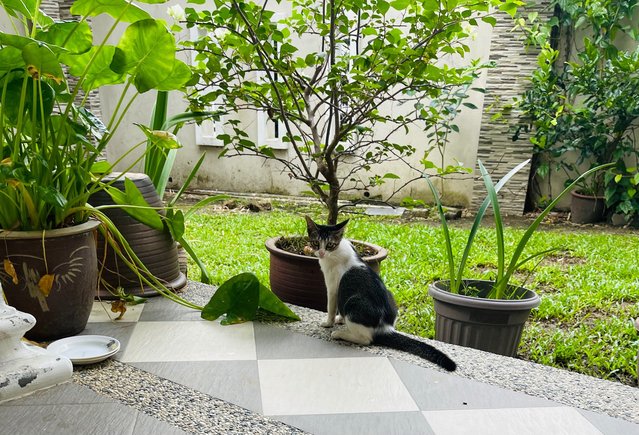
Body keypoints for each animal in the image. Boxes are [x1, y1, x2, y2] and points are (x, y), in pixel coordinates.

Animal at [304, 216, 456, 372]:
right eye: (316, 243)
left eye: (329, 245)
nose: (321, 253)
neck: (337, 249)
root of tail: (385, 328)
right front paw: (340, 319)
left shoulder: (333, 287)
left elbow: (331, 307)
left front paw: (329, 323)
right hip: (389, 295)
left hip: (353, 303)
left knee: (366, 339)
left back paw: (340, 334)